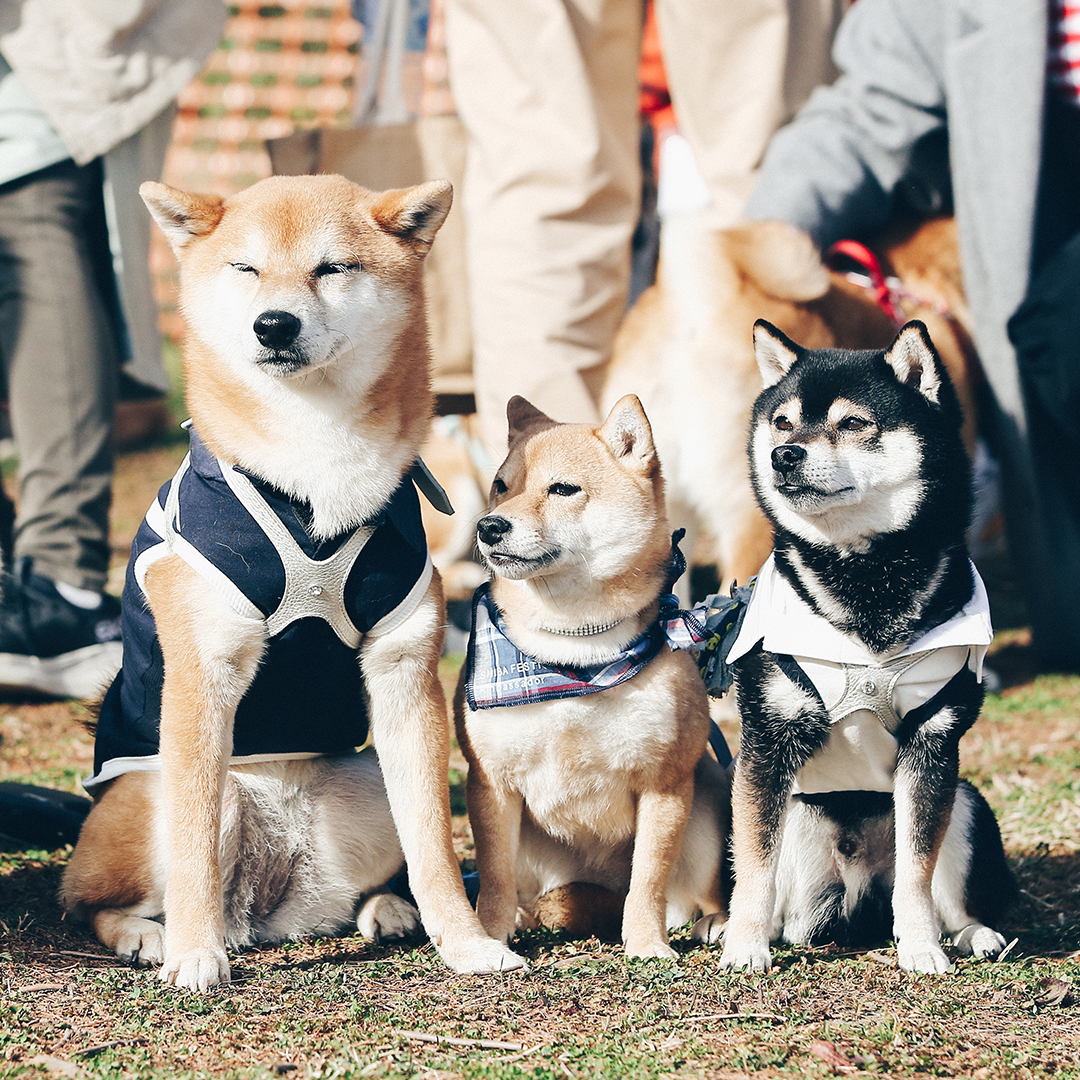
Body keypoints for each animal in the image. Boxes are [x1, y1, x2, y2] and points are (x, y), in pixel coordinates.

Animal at [59, 170, 522, 989]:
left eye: (331, 268)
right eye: (245, 269)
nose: (273, 325)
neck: (313, 477)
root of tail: (262, 908)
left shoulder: (405, 674)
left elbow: (435, 846)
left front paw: (466, 943)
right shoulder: (204, 675)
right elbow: (190, 853)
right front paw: (193, 955)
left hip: (365, 782)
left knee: (378, 873)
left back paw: (388, 911)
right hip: (154, 795)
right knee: (92, 899)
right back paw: (153, 936)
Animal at [451, 395, 730, 954]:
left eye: (562, 489)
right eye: (501, 485)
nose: (489, 526)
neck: (574, 658)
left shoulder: (665, 783)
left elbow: (648, 879)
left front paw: (645, 944)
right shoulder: (491, 784)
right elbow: (492, 877)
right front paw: (491, 937)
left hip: (708, 799)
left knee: (690, 894)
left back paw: (712, 919)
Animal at [721, 317, 1015, 972]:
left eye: (853, 423)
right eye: (784, 422)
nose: (783, 455)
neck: (865, 579)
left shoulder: (933, 743)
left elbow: (917, 872)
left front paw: (922, 948)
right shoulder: (767, 742)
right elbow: (753, 864)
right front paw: (744, 947)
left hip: (966, 802)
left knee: (942, 889)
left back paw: (971, 934)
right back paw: (726, 926)